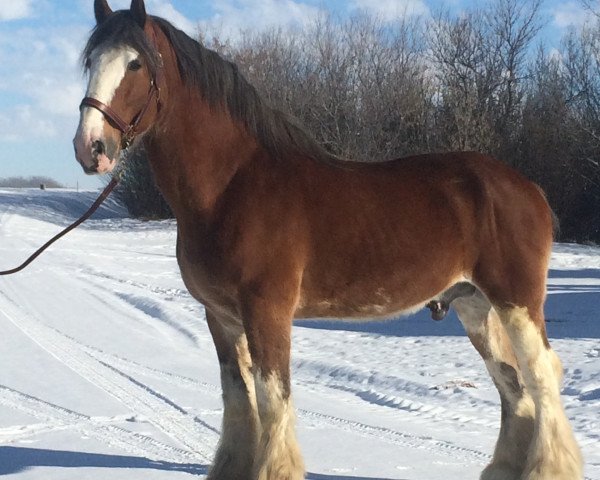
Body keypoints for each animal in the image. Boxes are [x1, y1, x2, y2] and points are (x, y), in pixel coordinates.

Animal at [72, 1, 584, 478]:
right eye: (91, 60)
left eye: (135, 63)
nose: (90, 148)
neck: (231, 185)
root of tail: (527, 189)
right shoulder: (220, 317)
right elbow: (237, 396)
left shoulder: (267, 311)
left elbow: (271, 397)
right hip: (474, 305)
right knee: (511, 384)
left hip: (516, 302)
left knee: (541, 376)